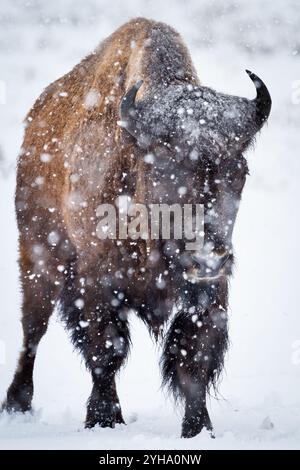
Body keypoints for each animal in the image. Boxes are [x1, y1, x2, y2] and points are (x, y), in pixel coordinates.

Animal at [2, 17, 270, 436]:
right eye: (163, 168)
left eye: (238, 171)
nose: (207, 258)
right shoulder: (97, 282)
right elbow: (105, 349)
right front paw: (103, 419)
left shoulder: (210, 292)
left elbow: (194, 356)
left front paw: (198, 429)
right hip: (39, 256)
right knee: (33, 329)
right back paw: (17, 402)